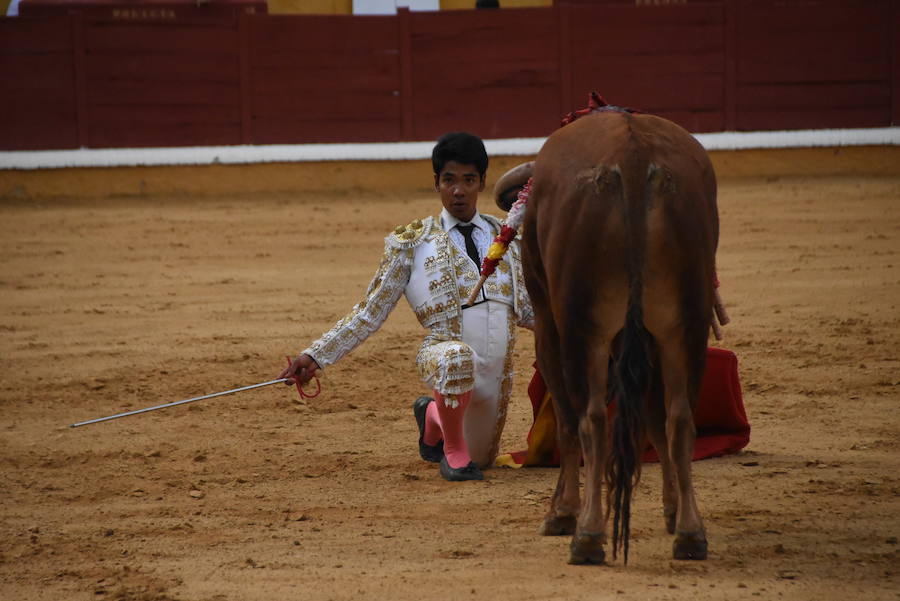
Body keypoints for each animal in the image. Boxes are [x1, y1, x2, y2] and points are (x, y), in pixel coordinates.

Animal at [520, 108, 716, 564]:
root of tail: (632, 156)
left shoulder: (548, 324)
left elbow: (568, 423)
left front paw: (561, 512)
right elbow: (655, 419)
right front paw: (672, 509)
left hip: (582, 329)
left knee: (591, 419)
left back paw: (588, 536)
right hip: (687, 325)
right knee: (681, 419)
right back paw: (690, 533)